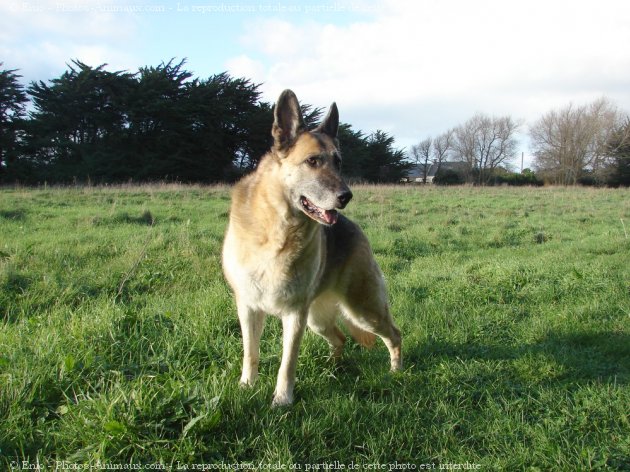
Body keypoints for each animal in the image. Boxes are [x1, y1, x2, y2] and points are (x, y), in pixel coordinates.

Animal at [225, 89, 402, 406]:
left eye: (338, 162)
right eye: (312, 161)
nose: (346, 196)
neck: (278, 229)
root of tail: (355, 228)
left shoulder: (294, 315)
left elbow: (287, 364)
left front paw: (282, 401)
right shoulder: (248, 308)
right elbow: (250, 353)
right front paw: (246, 387)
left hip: (362, 310)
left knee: (395, 335)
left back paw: (396, 372)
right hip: (318, 320)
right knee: (340, 339)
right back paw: (333, 368)